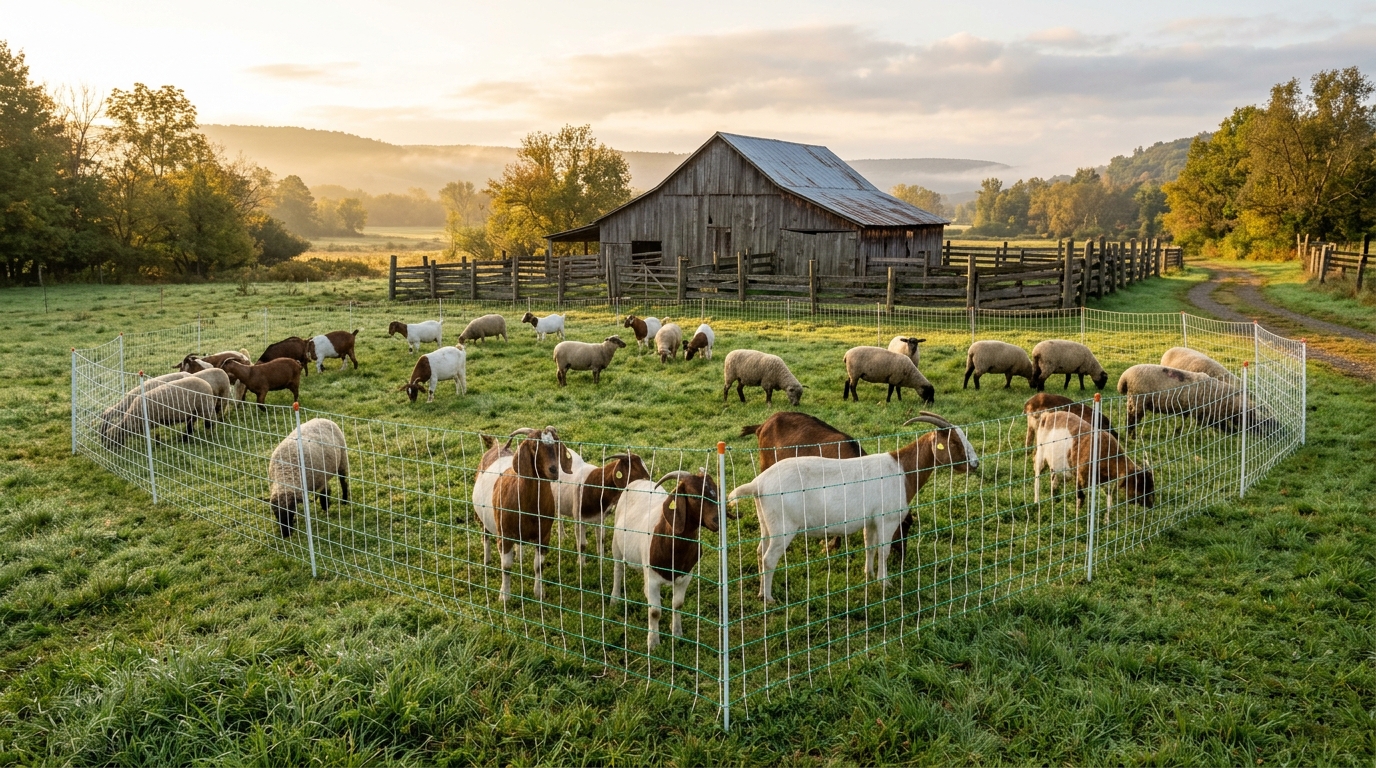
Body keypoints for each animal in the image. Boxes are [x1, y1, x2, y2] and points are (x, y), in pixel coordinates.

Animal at [610, 469, 725, 650]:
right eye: (694, 496)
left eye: (717, 491)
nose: (718, 520)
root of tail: (639, 481)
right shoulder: (651, 579)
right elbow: (654, 612)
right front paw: (653, 643)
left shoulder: (685, 577)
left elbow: (677, 604)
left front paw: (677, 633)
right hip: (616, 543)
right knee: (618, 569)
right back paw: (615, 598)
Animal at [728, 412, 978, 604]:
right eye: (954, 443)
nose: (974, 464)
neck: (902, 470)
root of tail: (758, 484)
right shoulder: (887, 520)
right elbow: (884, 551)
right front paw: (885, 583)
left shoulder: (872, 520)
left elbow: (870, 546)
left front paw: (869, 574)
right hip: (784, 526)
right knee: (769, 558)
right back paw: (769, 599)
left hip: (766, 521)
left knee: (760, 551)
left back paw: (761, 592)